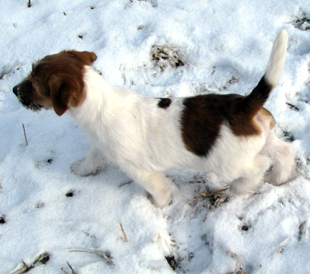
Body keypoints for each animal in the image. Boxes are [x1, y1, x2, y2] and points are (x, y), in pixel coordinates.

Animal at [13, 30, 296, 208]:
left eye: (34, 84)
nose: (15, 90)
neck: (99, 102)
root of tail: (244, 105)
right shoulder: (101, 148)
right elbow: (91, 160)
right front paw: (81, 170)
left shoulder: (141, 171)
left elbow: (159, 190)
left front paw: (158, 206)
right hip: (265, 138)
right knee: (285, 152)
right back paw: (279, 178)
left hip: (230, 163)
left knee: (259, 166)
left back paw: (240, 188)